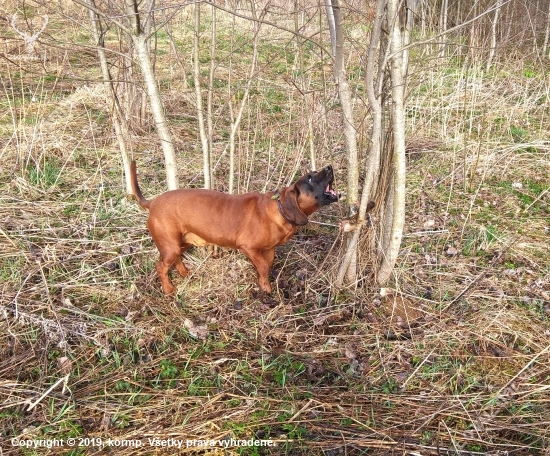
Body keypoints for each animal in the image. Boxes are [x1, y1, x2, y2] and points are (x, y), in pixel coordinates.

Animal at [132, 162, 338, 294]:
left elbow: (267, 266)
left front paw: (263, 283)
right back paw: (168, 289)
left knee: (175, 260)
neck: (279, 208)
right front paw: (265, 288)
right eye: (310, 179)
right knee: (161, 267)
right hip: (171, 245)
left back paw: (184, 273)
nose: (330, 167)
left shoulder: (269, 249)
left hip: (181, 243)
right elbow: (263, 267)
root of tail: (152, 203)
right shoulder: (248, 247)